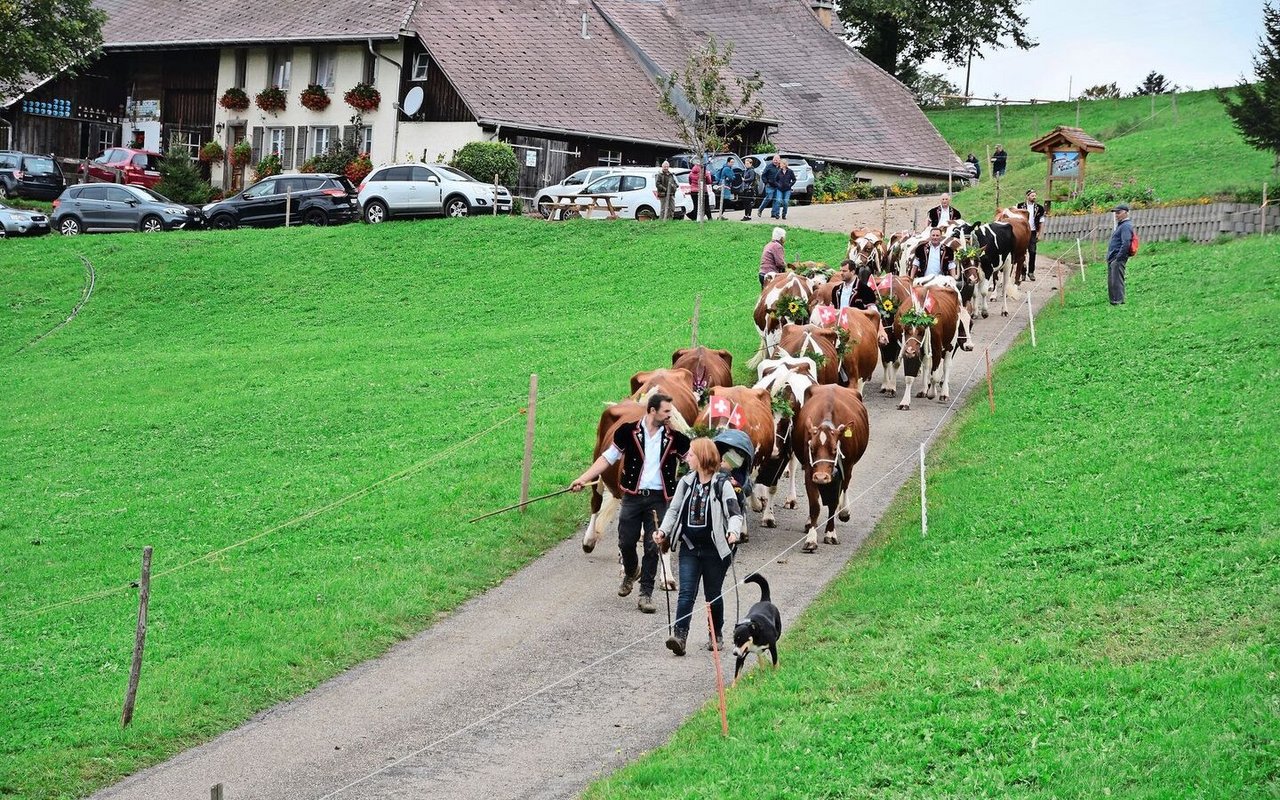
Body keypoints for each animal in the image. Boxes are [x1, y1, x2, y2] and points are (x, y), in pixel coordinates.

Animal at [747, 358, 819, 529]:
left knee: (792, 468)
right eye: (764, 424)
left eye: (786, 422)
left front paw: (768, 517)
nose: (773, 450)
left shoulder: (784, 453)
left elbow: (773, 486)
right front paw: (757, 503)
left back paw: (791, 499)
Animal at [788, 384, 870, 552]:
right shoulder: (810, 471)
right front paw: (811, 539)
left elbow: (833, 503)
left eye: (834, 449)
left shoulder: (843, 470)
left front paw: (831, 534)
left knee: (845, 487)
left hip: (849, 468)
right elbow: (814, 506)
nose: (821, 477)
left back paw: (844, 511)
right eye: (811, 448)